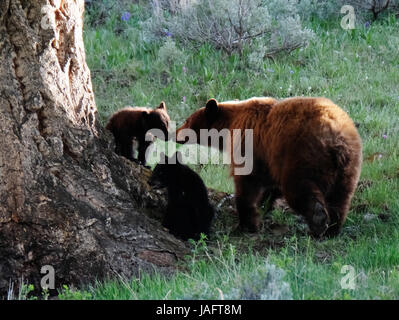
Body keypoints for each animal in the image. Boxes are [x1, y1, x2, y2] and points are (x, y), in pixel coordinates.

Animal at [177, 96, 364, 236]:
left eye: (187, 120)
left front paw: (246, 223)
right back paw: (333, 229)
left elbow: (246, 183)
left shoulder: (248, 145)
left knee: (298, 189)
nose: (176, 132)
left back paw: (318, 221)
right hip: (349, 167)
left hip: (302, 155)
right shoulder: (268, 158)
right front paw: (264, 205)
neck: (230, 124)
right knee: (340, 198)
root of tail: (336, 139)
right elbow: (269, 185)